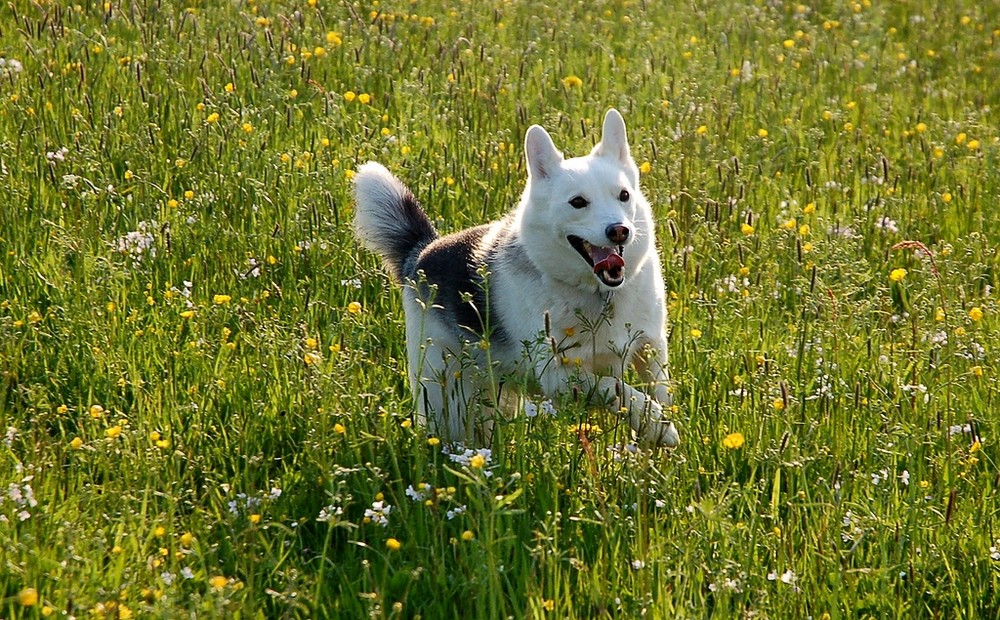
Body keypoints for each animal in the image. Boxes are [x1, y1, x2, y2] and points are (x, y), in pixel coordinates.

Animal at [352, 110, 680, 446]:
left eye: (624, 196)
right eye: (578, 202)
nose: (619, 231)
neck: (599, 293)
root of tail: (421, 251)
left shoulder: (652, 348)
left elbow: (659, 391)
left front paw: (653, 435)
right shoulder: (559, 376)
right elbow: (616, 389)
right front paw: (658, 425)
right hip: (447, 400)